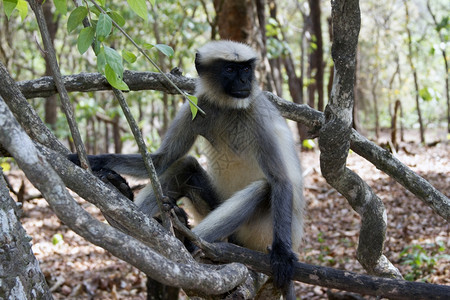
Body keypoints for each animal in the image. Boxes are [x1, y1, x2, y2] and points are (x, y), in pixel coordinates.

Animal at [68, 40, 304, 298]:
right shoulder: (197, 105)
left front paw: (282, 256)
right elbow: (162, 159)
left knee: (263, 188)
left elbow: (280, 180)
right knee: (185, 166)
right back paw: (133, 203)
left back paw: (188, 240)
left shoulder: (260, 114)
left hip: (258, 234)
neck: (229, 108)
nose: (244, 82)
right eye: (230, 69)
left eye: (246, 69)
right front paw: (93, 160)